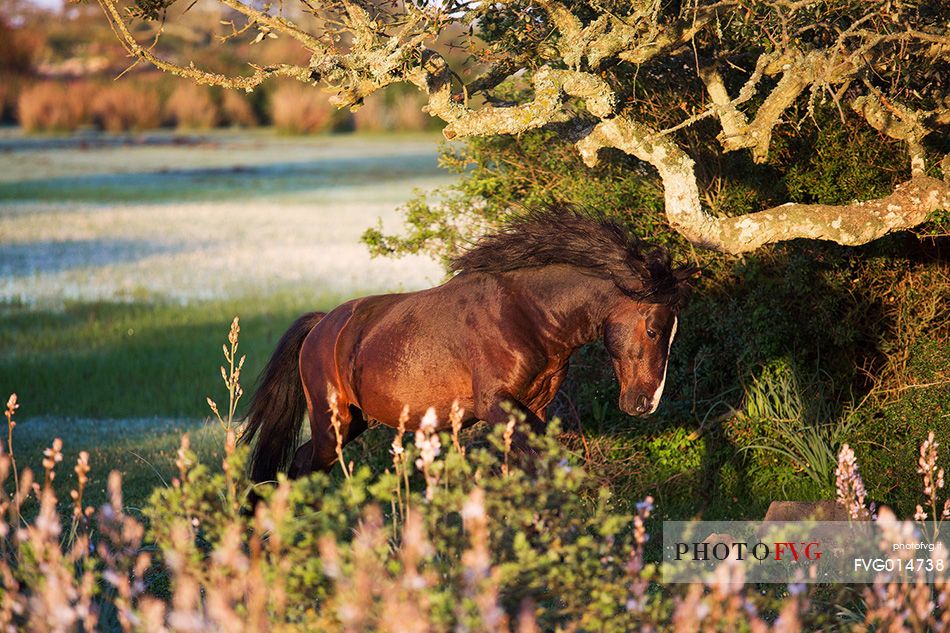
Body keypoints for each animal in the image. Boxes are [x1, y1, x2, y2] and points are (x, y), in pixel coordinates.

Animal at [242, 210, 696, 482]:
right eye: (654, 331)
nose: (646, 403)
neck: (525, 314)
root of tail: (323, 325)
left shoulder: (535, 406)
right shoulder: (497, 405)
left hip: (356, 422)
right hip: (331, 422)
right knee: (299, 465)